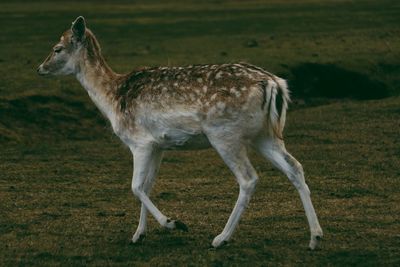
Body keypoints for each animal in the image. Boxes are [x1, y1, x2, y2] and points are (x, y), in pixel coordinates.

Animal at [37, 16, 324, 250]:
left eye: (57, 48)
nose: (40, 68)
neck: (112, 98)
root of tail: (276, 84)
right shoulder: (158, 146)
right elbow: (147, 186)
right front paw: (138, 235)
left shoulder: (139, 142)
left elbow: (135, 187)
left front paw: (174, 223)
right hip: (265, 135)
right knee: (295, 167)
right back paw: (315, 237)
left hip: (224, 134)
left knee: (249, 178)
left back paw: (221, 238)